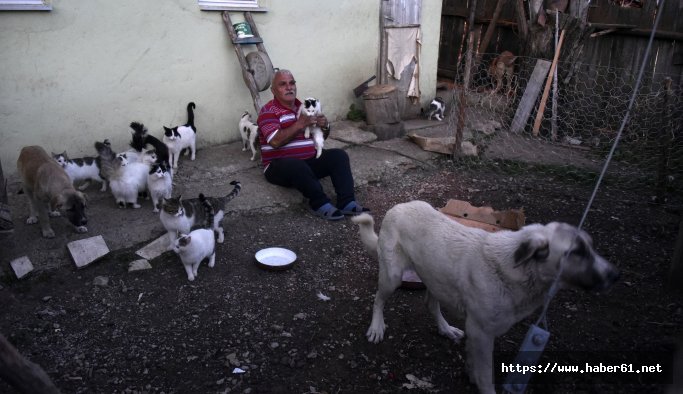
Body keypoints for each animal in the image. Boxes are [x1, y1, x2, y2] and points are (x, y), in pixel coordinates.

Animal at [352, 202, 620, 392]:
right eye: (576, 252)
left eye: (590, 247)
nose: (615, 275)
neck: (515, 269)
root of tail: (398, 207)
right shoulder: (481, 333)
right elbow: (485, 377)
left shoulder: (477, 332)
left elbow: (475, 367)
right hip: (393, 276)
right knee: (378, 299)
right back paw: (376, 327)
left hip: (435, 276)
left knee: (430, 303)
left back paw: (446, 329)